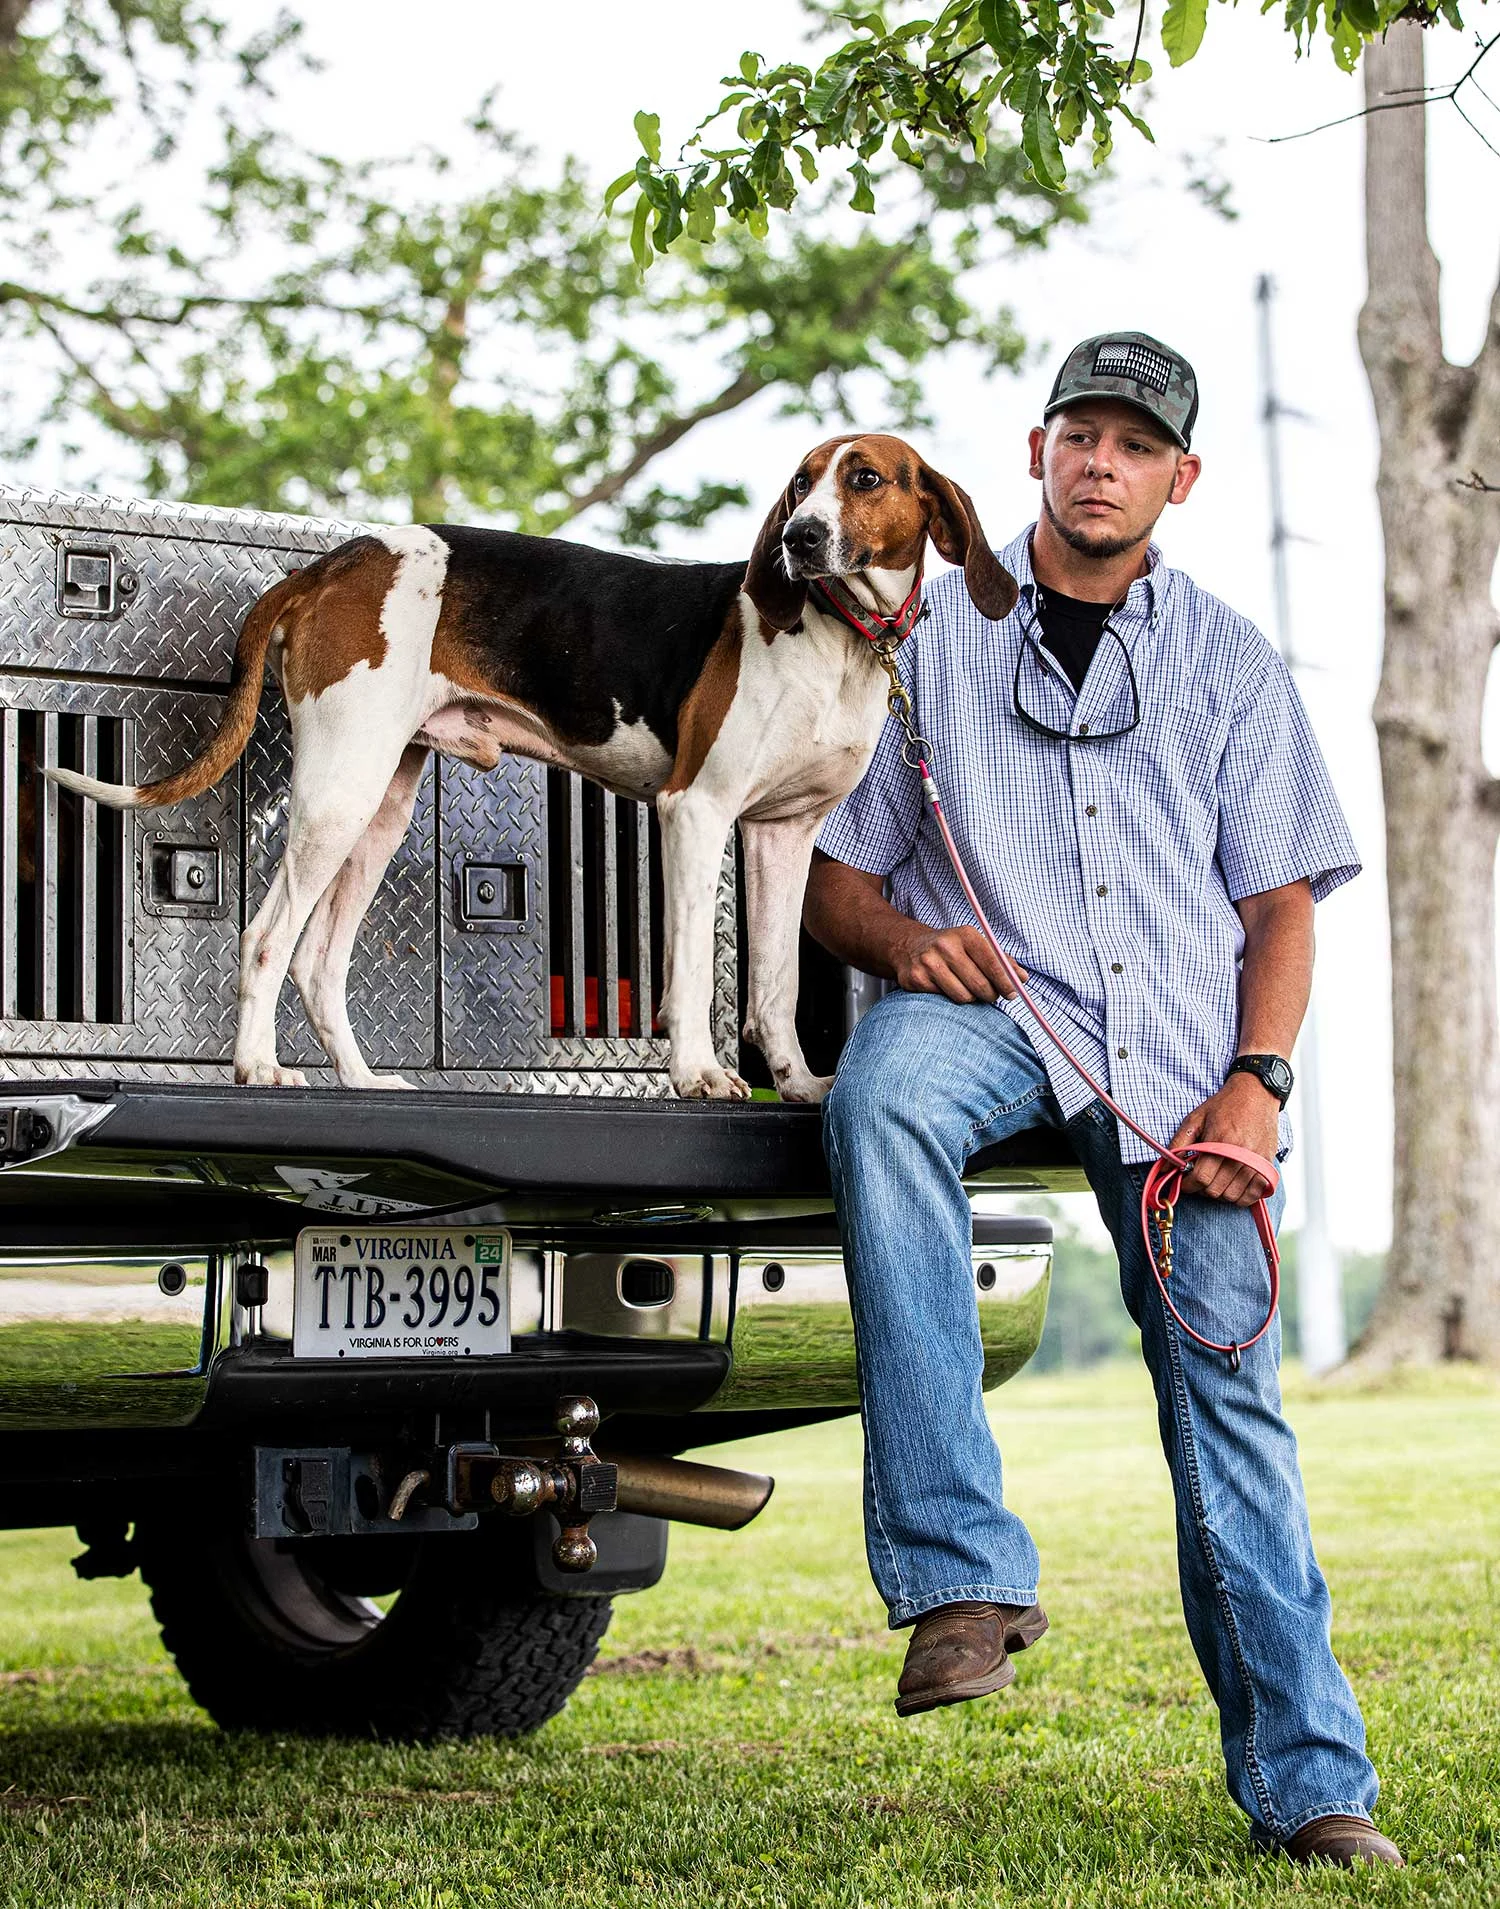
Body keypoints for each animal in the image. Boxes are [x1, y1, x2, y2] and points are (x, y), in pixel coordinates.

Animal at [52, 437, 1022, 1099]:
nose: (799, 536)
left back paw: (361, 1080)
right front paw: (698, 1074)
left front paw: (800, 1084)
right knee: (265, 937)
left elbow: (776, 984)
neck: (844, 641)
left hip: (381, 804)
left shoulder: (783, 834)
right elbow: (693, 972)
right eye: (798, 483)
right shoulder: (695, 811)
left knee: (319, 962)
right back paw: (258, 1066)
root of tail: (334, 561)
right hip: (338, 791)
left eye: (866, 479)